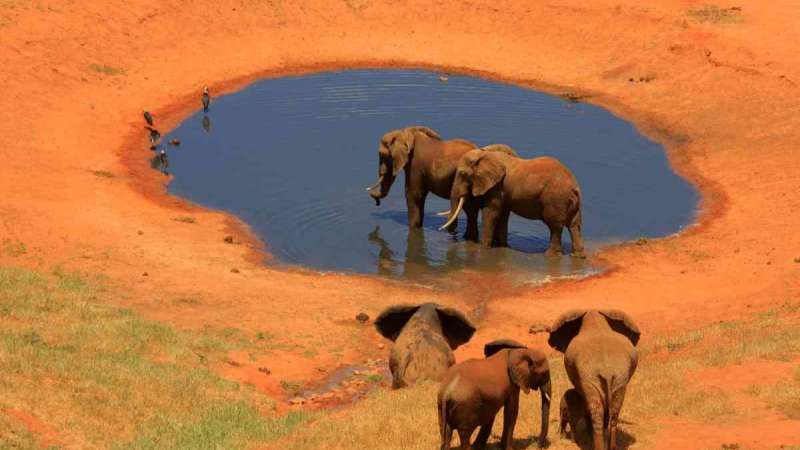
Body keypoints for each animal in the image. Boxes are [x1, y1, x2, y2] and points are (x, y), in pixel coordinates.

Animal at [440, 148, 586, 257]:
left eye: (462, 173)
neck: (485, 154)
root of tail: (574, 187)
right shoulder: (502, 190)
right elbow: (503, 215)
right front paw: (502, 246)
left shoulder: (497, 187)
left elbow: (491, 212)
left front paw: (483, 249)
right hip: (572, 202)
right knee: (574, 225)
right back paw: (578, 256)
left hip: (556, 200)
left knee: (555, 226)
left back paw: (550, 255)